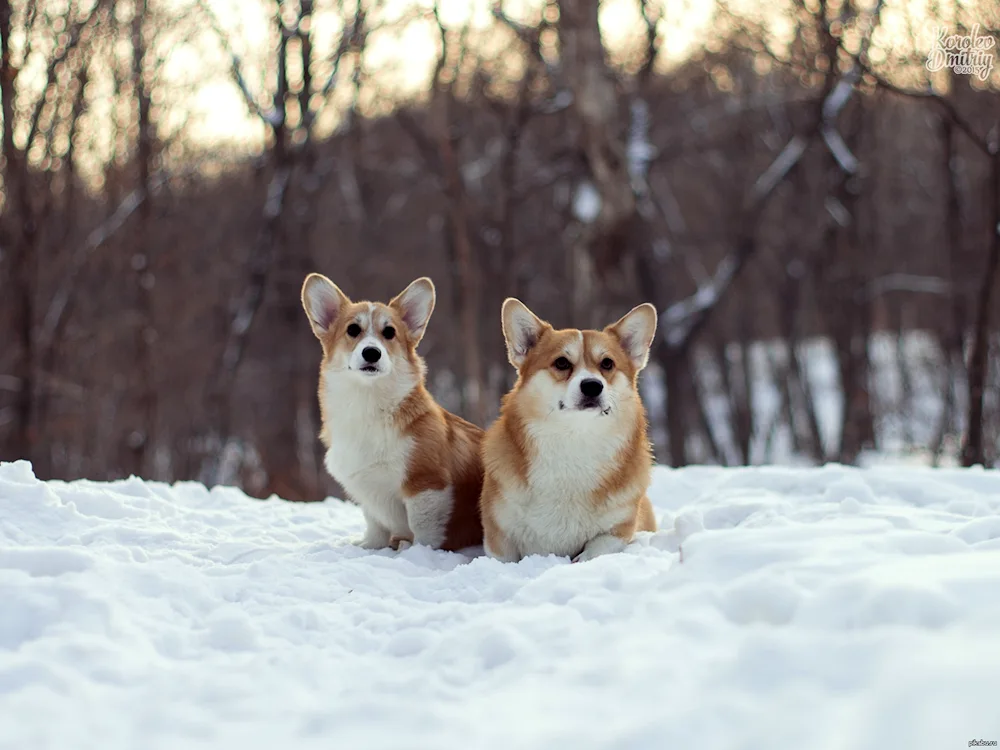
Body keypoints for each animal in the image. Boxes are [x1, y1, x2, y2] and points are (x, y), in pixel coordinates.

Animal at [300, 276, 484, 552]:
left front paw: (417, 554)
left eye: (389, 333)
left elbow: (423, 528)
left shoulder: (427, 485)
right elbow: (375, 523)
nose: (371, 352)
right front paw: (369, 546)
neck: (368, 403)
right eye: (353, 330)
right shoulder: (369, 494)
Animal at [480, 300, 660, 564]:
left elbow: (595, 550)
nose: (592, 386)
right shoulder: (499, 537)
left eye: (607, 363)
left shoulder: (618, 529)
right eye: (562, 363)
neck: (575, 440)